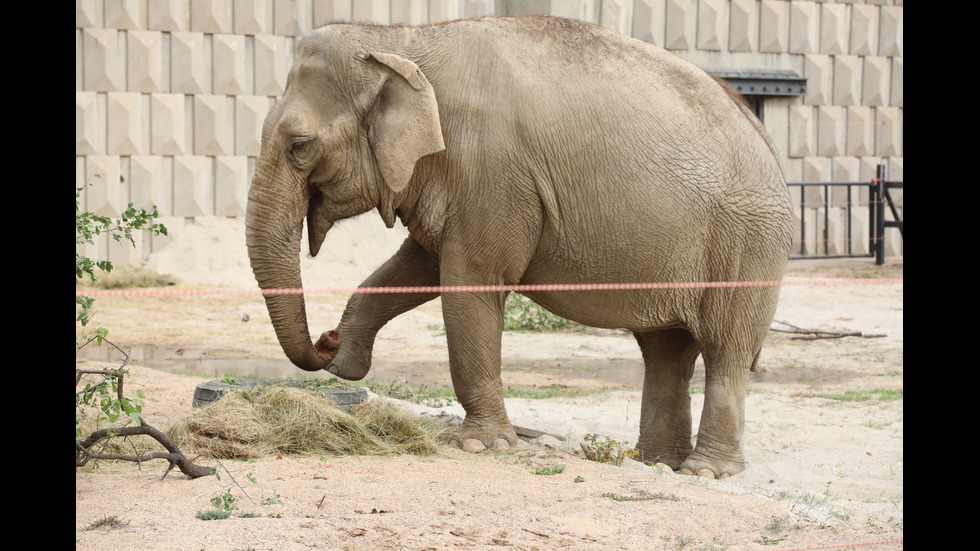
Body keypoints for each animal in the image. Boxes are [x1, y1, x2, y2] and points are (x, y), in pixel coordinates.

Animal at [247, 15, 796, 476]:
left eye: (299, 146)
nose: (324, 340)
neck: (403, 39)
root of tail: (766, 138)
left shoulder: (491, 172)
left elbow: (469, 283)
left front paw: (480, 446)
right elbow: (418, 265)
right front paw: (346, 361)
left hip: (748, 243)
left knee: (725, 348)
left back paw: (705, 471)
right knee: (666, 349)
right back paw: (656, 462)